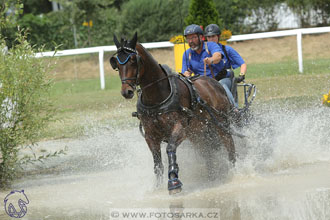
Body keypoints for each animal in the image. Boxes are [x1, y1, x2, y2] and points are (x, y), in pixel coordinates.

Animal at [109, 32, 236, 194]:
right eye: (116, 64)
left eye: (132, 60)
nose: (127, 91)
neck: (156, 97)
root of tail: (215, 83)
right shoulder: (151, 136)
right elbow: (157, 162)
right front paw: (157, 187)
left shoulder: (179, 128)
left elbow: (170, 149)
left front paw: (174, 181)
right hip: (199, 134)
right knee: (207, 153)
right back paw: (212, 177)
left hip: (221, 125)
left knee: (230, 148)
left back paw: (234, 173)